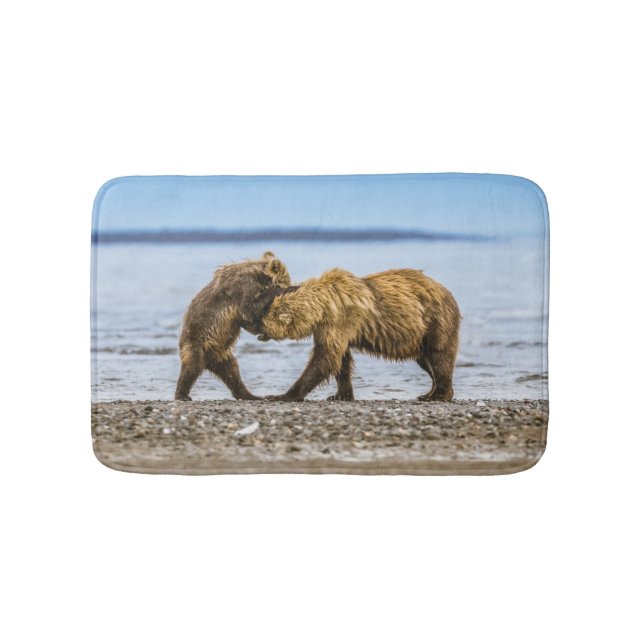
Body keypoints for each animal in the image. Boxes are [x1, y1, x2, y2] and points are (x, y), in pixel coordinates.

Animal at [174, 251, 293, 401]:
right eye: (288, 280)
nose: (290, 284)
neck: (259, 276)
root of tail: (209, 361)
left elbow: (249, 319)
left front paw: (264, 334)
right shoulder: (243, 287)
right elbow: (250, 308)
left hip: (221, 353)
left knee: (232, 372)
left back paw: (250, 395)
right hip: (196, 342)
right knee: (191, 367)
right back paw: (182, 395)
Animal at [243, 267, 460, 402]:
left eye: (257, 316)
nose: (244, 323)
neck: (322, 306)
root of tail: (447, 292)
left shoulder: (341, 318)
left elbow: (325, 358)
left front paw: (282, 395)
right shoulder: (329, 327)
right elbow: (341, 360)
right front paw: (340, 394)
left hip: (435, 321)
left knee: (439, 356)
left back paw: (439, 394)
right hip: (420, 336)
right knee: (425, 360)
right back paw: (429, 392)